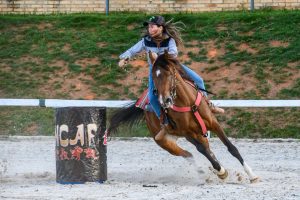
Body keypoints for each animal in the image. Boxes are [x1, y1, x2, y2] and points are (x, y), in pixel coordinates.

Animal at [108, 51, 260, 183]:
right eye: (154, 77)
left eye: (170, 74)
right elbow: (202, 150)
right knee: (189, 154)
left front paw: (252, 175)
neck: (188, 103)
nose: (165, 100)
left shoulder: (213, 124)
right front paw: (221, 172)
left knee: (205, 151)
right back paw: (205, 172)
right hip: (166, 143)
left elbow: (231, 147)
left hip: (198, 135)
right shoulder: (187, 133)